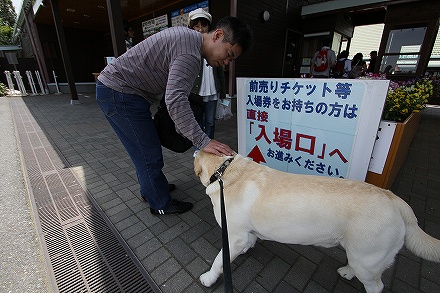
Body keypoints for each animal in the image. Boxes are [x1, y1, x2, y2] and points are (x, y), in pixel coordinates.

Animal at [194, 149, 440, 292]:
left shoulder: (233, 235)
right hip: (361, 255)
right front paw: (247, 247)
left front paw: (209, 278)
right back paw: (347, 272)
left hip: (368, 259)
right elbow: (250, 239)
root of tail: (396, 200)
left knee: (376, 286)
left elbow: (219, 260)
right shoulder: (244, 232)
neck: (225, 171)